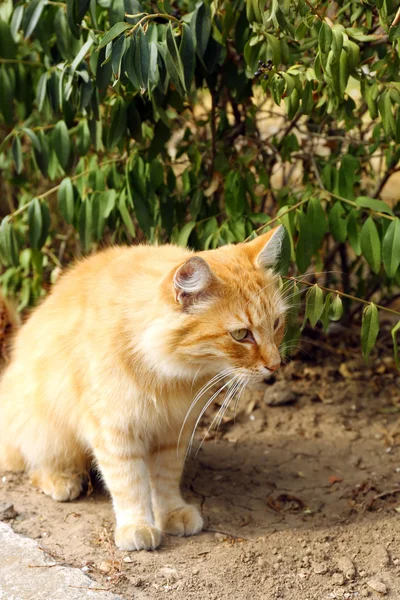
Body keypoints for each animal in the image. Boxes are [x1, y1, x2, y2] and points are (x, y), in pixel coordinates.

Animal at [0, 227, 288, 552]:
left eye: (276, 324)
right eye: (241, 335)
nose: (276, 365)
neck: (167, 373)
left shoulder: (173, 430)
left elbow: (164, 478)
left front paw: (171, 512)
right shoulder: (114, 430)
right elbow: (128, 483)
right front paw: (136, 525)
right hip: (47, 430)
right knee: (34, 464)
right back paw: (63, 481)